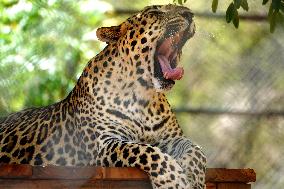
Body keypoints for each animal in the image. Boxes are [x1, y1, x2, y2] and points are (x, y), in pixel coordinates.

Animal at [1, 4, 207, 189]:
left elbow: (197, 150)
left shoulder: (172, 139)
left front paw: (195, 179)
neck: (144, 98)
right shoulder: (104, 144)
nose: (190, 14)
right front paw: (173, 180)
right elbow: (147, 151)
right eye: (155, 12)